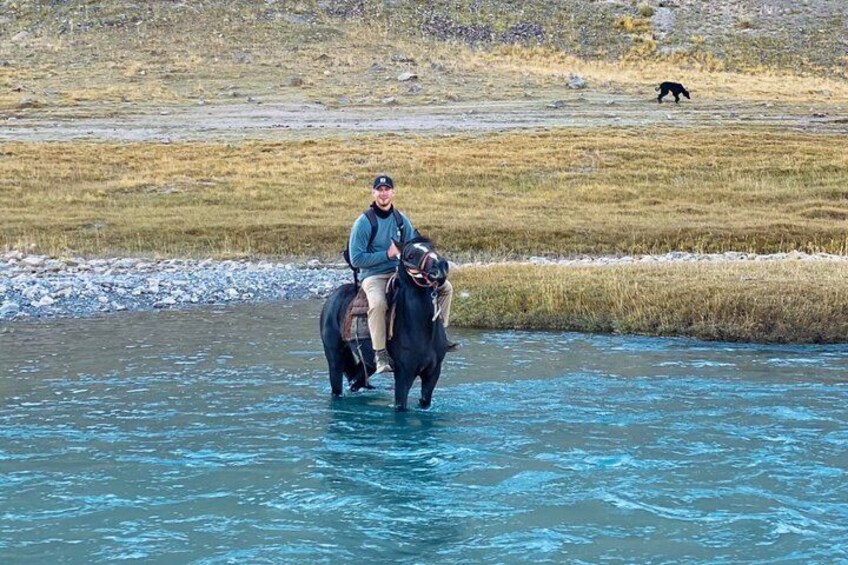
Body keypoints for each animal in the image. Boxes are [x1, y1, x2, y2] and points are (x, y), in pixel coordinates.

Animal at [320, 234, 451, 411]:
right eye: (411, 255)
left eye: (432, 247)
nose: (441, 266)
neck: (422, 328)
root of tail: (333, 297)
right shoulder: (403, 375)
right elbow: (401, 405)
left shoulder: (433, 373)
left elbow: (424, 401)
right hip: (334, 359)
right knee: (337, 388)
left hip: (367, 363)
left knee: (356, 382)